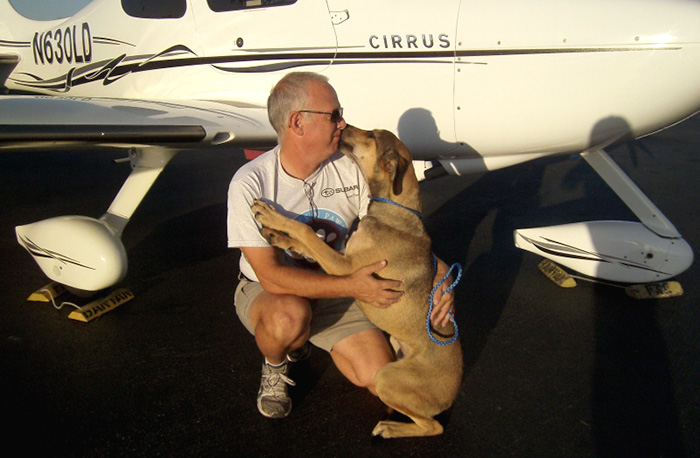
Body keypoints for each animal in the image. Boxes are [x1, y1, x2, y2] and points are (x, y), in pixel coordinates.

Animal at [252, 126, 464, 440]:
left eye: (372, 135)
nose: (343, 125)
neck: (394, 210)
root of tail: (453, 395)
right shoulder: (342, 259)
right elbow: (305, 241)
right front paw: (278, 236)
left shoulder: (345, 265)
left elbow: (306, 231)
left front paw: (273, 217)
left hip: (386, 376)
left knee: (433, 426)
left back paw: (390, 428)